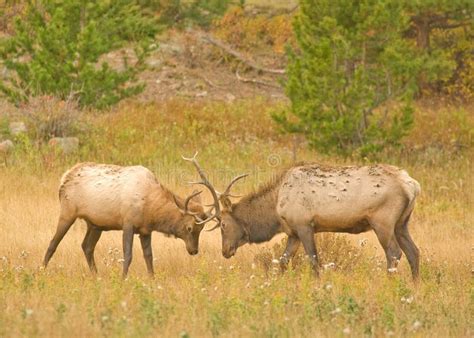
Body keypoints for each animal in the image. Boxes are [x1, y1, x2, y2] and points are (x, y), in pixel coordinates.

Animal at [42, 156, 218, 278]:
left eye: (201, 229)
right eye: (189, 228)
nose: (194, 250)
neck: (151, 209)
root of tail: (64, 177)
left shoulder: (145, 230)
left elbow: (149, 256)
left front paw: (152, 278)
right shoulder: (128, 223)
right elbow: (128, 255)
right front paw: (123, 278)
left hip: (95, 224)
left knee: (87, 246)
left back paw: (96, 275)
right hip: (67, 212)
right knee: (52, 243)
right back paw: (41, 270)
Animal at [206, 162, 420, 278]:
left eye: (223, 224)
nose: (225, 251)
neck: (275, 208)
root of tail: (412, 185)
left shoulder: (304, 225)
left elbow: (314, 261)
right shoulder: (293, 232)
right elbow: (283, 261)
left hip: (383, 222)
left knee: (394, 253)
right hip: (402, 223)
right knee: (414, 252)